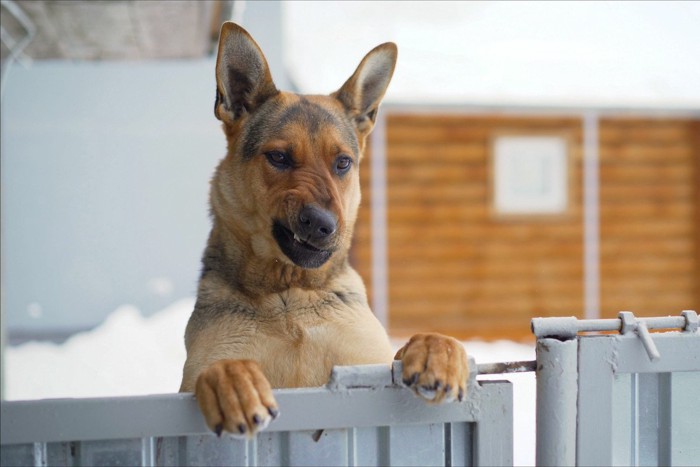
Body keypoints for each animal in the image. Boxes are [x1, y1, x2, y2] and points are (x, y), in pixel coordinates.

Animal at [178, 22, 468, 438]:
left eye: (343, 162)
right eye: (279, 157)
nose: (322, 225)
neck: (290, 295)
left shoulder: (367, 366)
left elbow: (409, 347)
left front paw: (437, 351)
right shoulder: (189, 379)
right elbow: (216, 367)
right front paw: (233, 381)